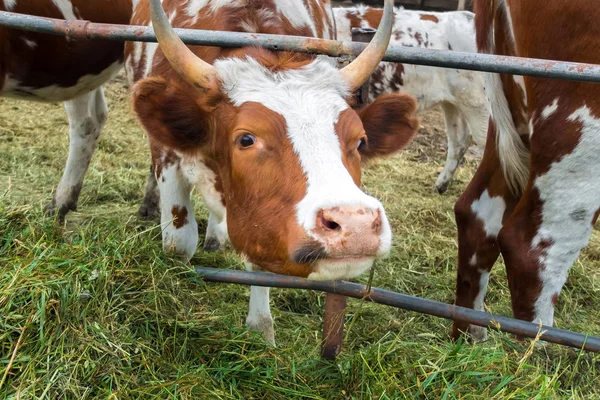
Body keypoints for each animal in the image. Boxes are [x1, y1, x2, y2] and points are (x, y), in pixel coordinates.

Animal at [126, 0, 418, 344]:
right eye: (246, 139)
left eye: (360, 141)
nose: (355, 225)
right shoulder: (168, 155)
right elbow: (178, 243)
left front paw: (260, 328)